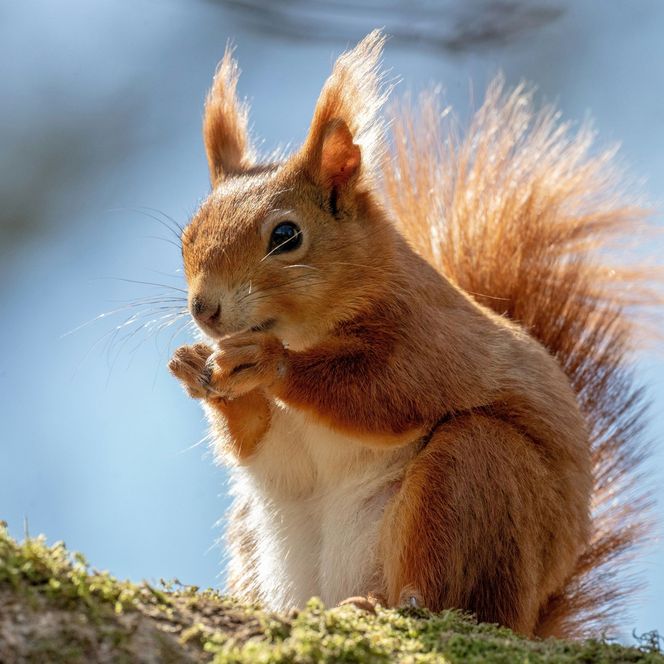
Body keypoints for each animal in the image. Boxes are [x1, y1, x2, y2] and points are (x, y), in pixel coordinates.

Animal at [168, 31, 654, 638]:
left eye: (285, 236)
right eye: (187, 236)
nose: (203, 310)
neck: (308, 329)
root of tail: (528, 612)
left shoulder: (430, 337)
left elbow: (386, 392)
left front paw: (269, 361)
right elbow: (261, 440)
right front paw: (197, 367)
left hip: (473, 478)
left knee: (441, 592)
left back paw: (385, 604)